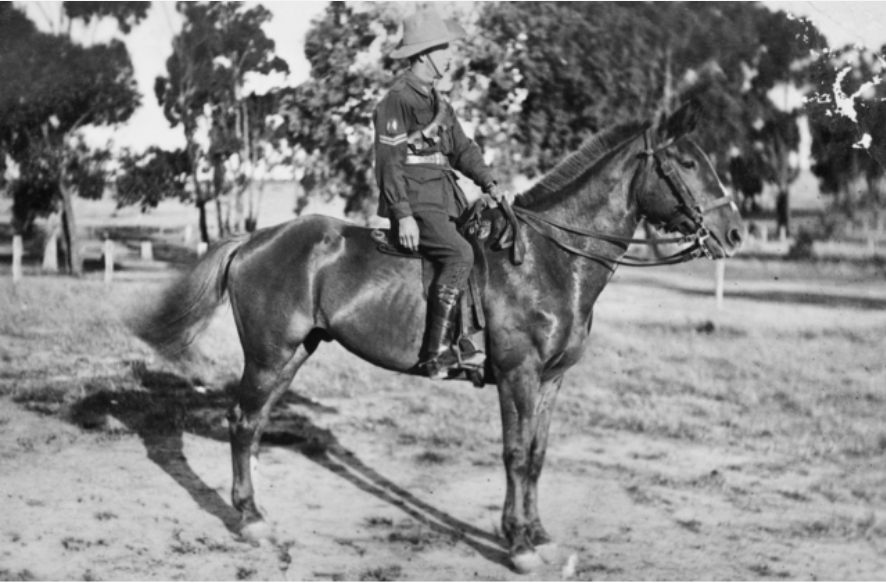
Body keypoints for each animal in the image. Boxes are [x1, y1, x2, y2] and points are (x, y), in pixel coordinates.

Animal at [131, 102, 744, 573]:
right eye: (687, 162)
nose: (734, 232)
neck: (548, 261)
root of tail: (255, 239)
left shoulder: (551, 381)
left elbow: (538, 455)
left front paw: (539, 536)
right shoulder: (517, 376)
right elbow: (515, 454)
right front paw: (518, 546)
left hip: (292, 355)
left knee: (253, 423)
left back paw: (253, 510)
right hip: (268, 354)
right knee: (240, 422)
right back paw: (251, 520)